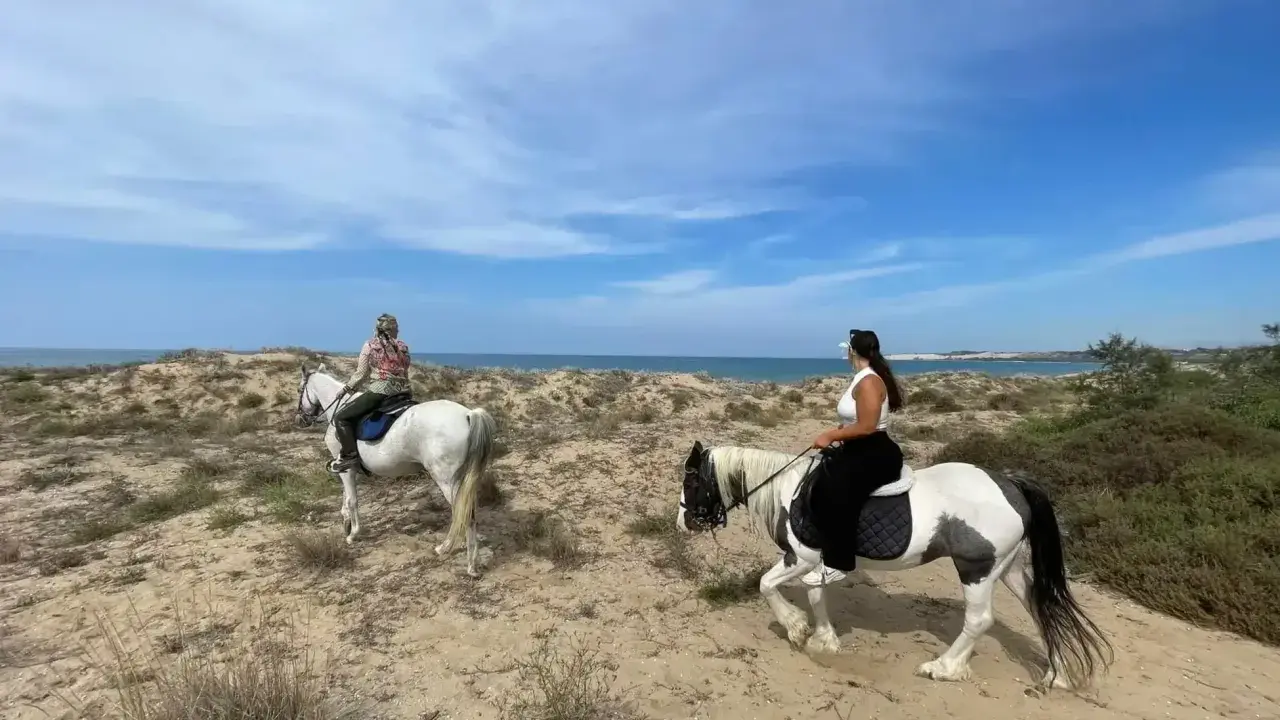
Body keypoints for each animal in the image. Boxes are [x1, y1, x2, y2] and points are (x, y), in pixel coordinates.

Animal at [295, 363, 497, 577]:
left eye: (300, 390)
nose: (300, 419)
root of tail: (468, 415)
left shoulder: (346, 469)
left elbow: (352, 500)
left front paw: (353, 534)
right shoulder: (345, 468)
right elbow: (345, 498)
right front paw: (346, 523)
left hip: (447, 480)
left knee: (463, 514)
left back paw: (464, 561)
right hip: (465, 480)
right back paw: (453, 552)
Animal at [676, 440, 1113, 691]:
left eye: (692, 482)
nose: (683, 523)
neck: (792, 491)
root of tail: (1009, 484)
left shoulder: (801, 557)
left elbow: (767, 585)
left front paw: (796, 628)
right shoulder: (815, 562)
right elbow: (816, 594)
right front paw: (823, 640)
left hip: (977, 568)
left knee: (980, 620)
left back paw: (944, 667)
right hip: (1010, 569)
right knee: (1042, 610)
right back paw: (1056, 674)